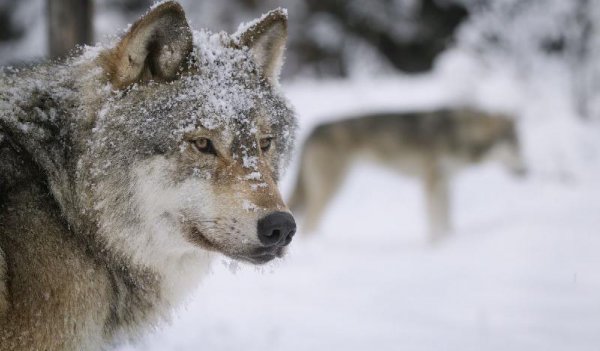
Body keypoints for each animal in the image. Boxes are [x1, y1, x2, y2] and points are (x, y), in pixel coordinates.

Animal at [290, 109, 524, 242]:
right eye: (513, 147)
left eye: (519, 145)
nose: (526, 171)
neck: (460, 132)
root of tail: (314, 130)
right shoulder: (431, 181)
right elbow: (434, 219)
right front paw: (435, 245)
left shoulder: (445, 182)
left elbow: (447, 218)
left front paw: (450, 240)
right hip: (332, 187)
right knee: (309, 224)